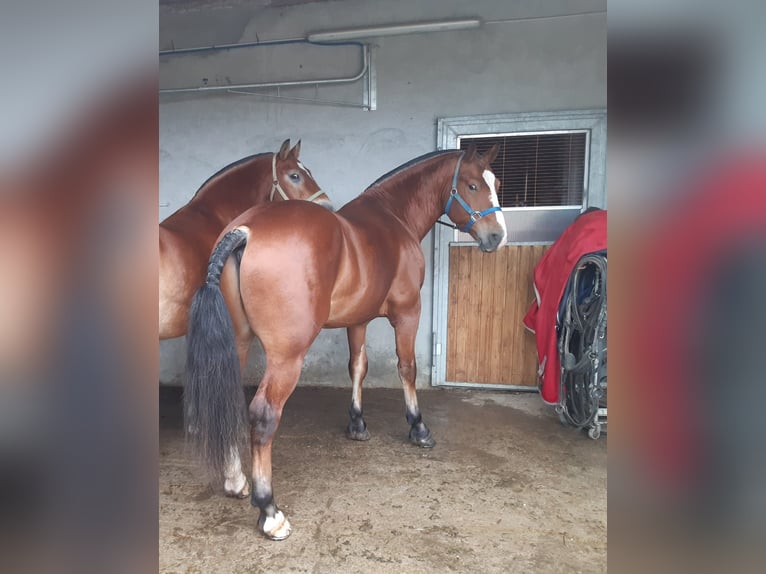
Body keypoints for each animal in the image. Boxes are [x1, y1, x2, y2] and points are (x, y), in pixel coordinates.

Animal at [186, 144, 510, 540]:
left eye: (497, 183)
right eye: (473, 185)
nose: (497, 236)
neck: (393, 218)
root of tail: (244, 231)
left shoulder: (357, 320)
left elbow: (358, 366)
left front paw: (357, 424)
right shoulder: (408, 313)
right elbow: (407, 368)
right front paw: (418, 427)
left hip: (239, 342)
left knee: (229, 396)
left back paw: (235, 481)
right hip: (286, 357)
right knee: (263, 416)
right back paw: (269, 511)